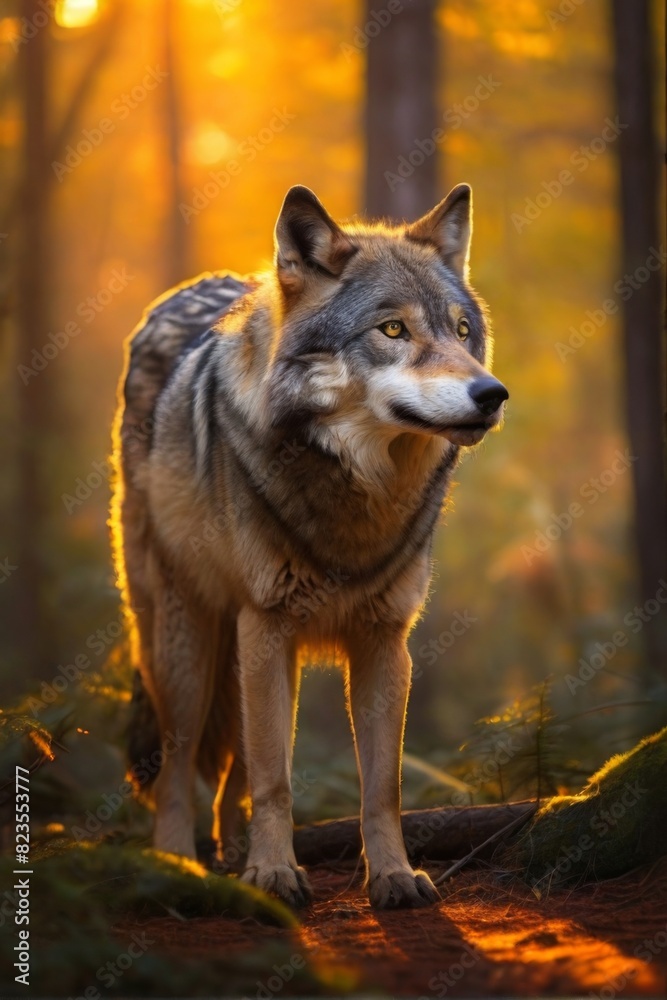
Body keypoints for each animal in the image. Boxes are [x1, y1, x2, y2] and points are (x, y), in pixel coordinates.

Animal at [111, 183, 508, 909]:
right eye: (392, 330)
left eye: (462, 332)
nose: (492, 394)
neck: (357, 493)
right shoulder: (266, 624)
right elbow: (276, 776)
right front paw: (273, 874)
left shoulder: (384, 638)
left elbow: (381, 785)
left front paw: (392, 877)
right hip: (187, 640)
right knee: (180, 760)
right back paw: (179, 864)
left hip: (247, 650)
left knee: (233, 764)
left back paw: (232, 849)